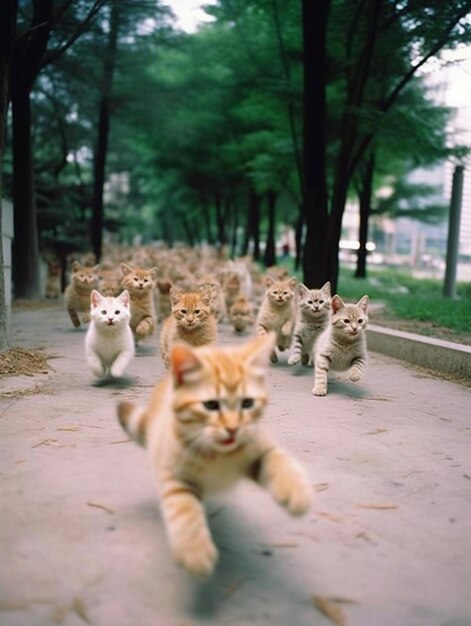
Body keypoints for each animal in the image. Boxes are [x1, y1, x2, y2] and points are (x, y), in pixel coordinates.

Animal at [116, 332, 312, 576]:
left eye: (247, 403)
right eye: (210, 405)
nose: (233, 428)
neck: (219, 454)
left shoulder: (257, 443)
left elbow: (278, 458)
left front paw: (295, 490)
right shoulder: (175, 473)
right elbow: (183, 507)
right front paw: (194, 549)